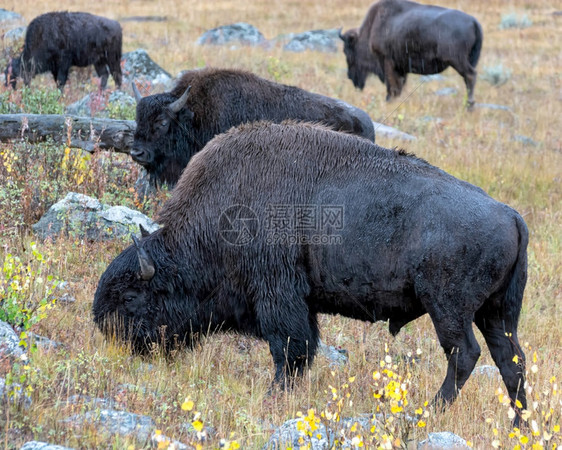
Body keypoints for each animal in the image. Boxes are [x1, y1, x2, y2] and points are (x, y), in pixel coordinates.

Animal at [340, 0, 484, 107]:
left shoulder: (387, 61)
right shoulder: (401, 67)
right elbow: (399, 85)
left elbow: (392, 85)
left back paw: (469, 105)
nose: (350, 77)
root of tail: (474, 22)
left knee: (470, 75)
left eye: (347, 51)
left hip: (456, 60)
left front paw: (389, 100)